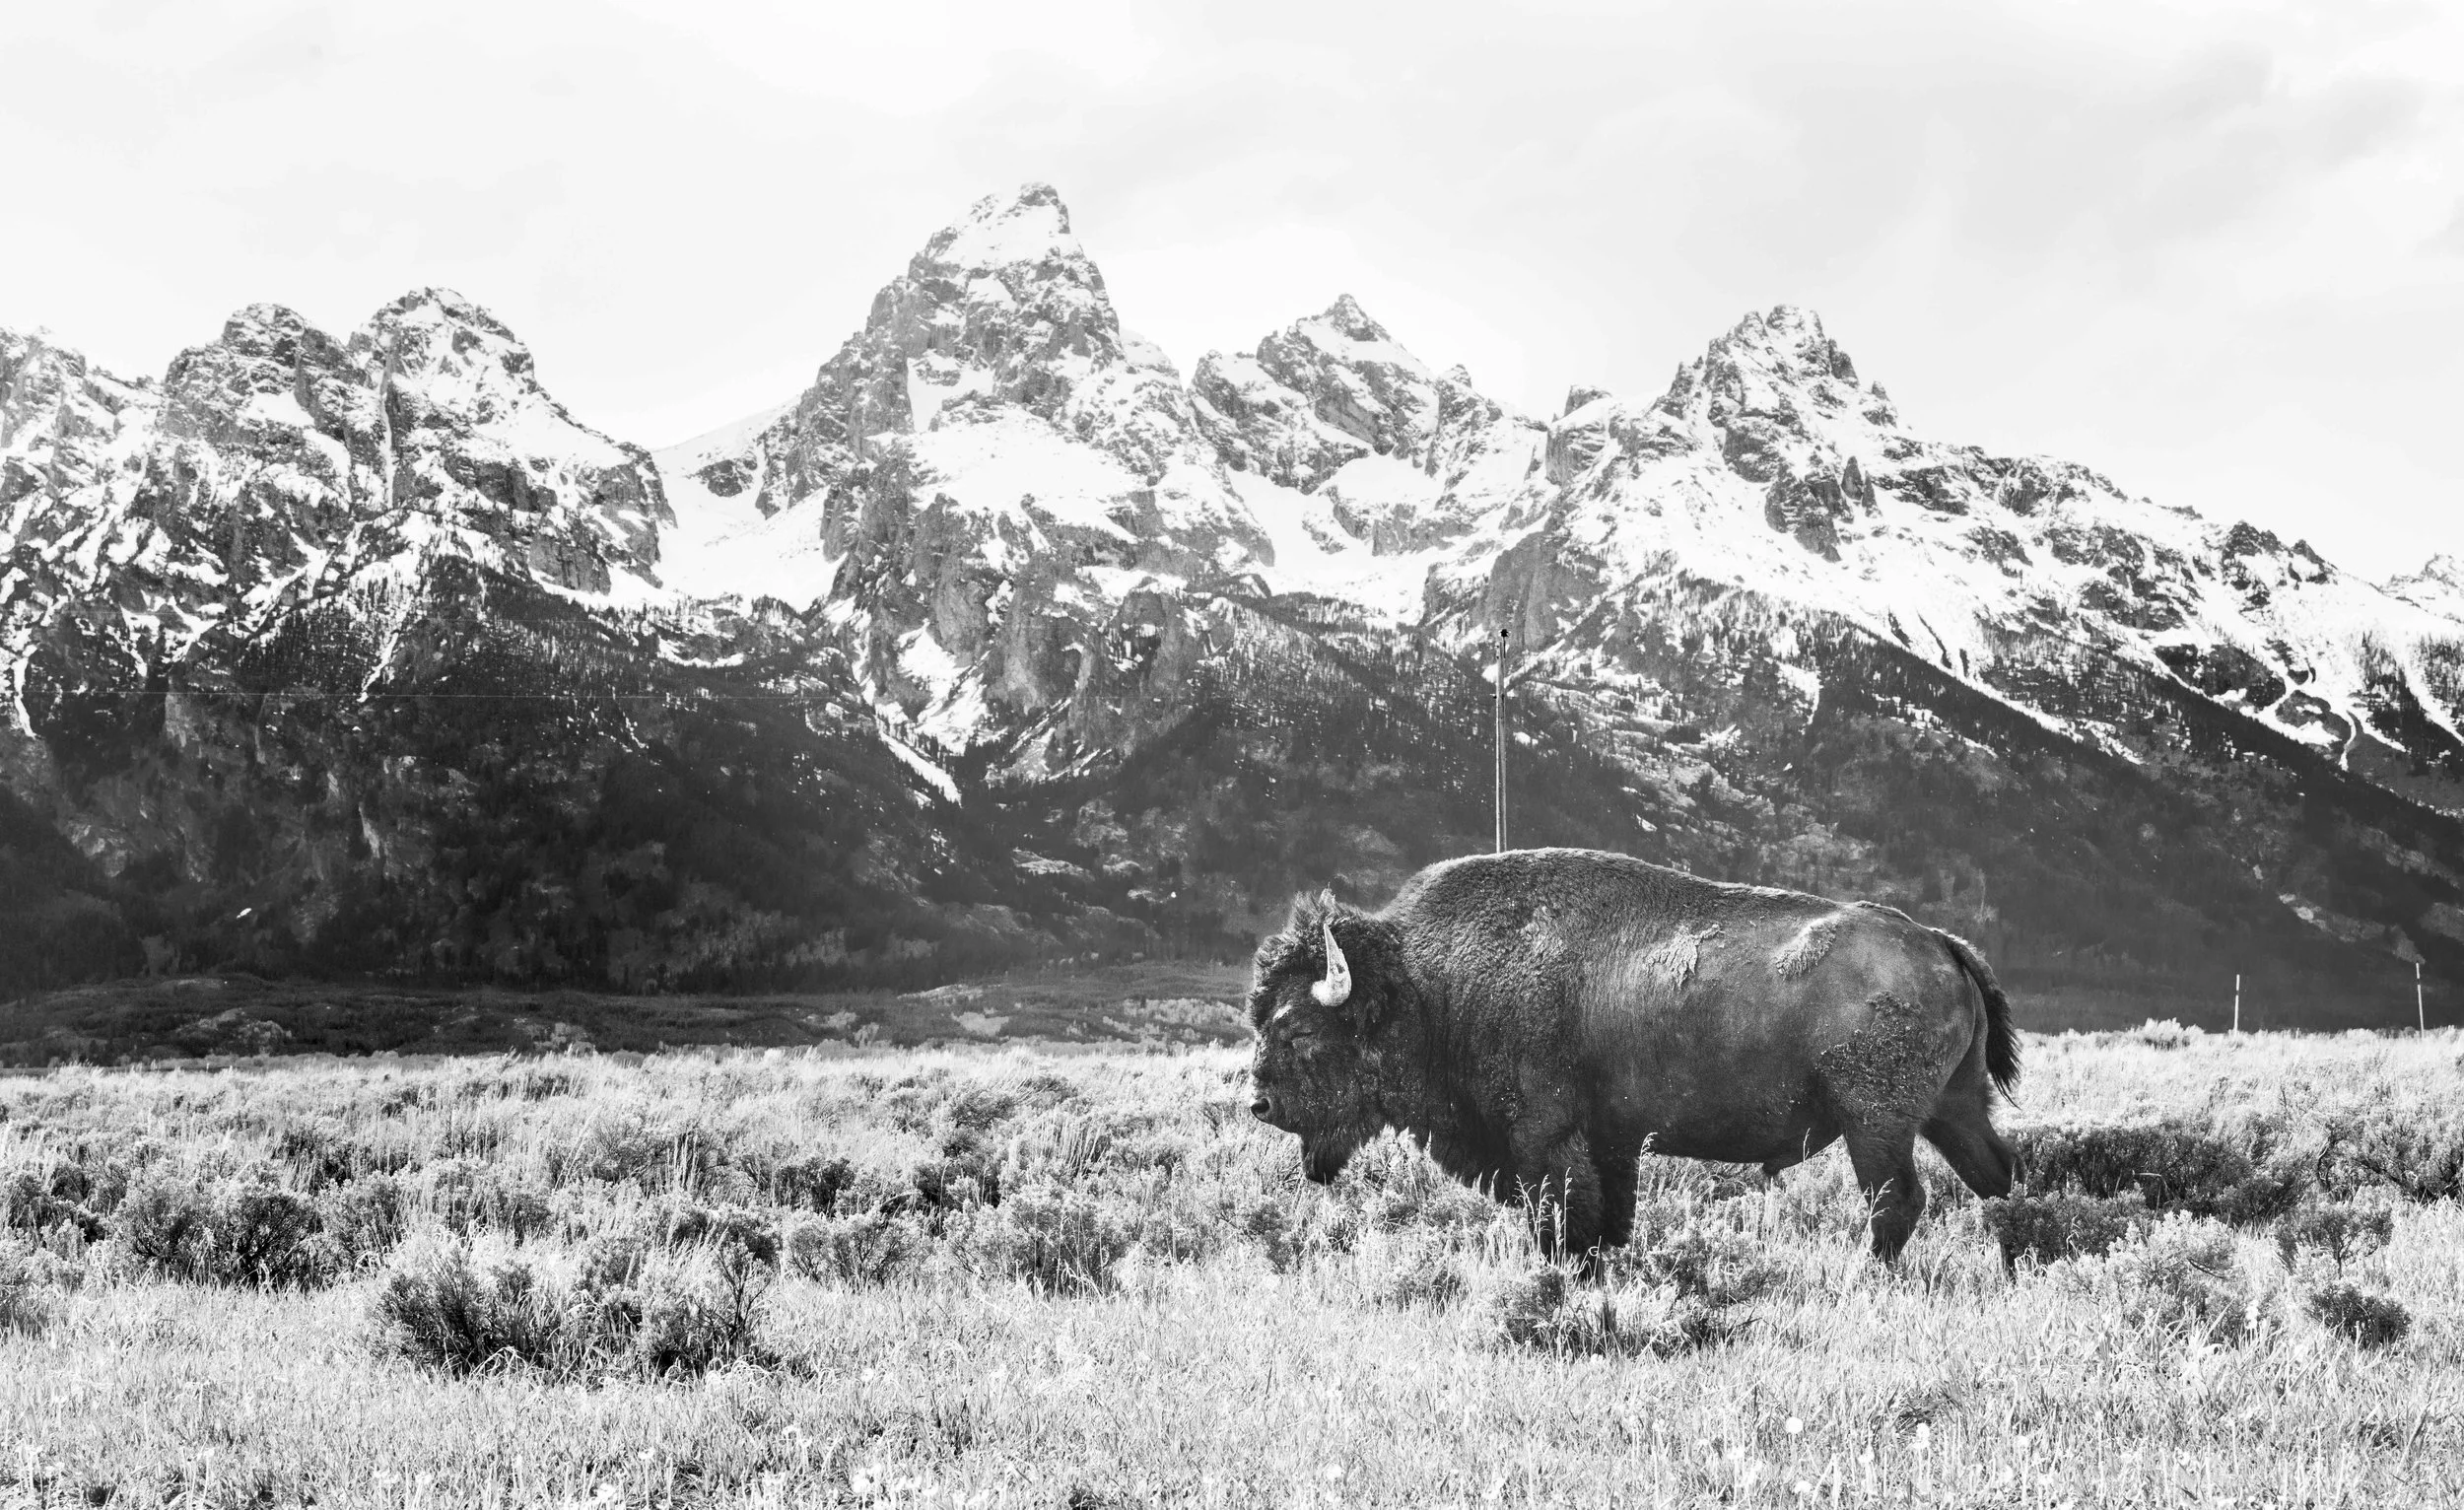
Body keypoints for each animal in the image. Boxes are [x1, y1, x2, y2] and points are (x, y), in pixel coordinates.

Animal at [1246, 847, 2019, 1262]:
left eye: (1297, 1030)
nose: (1258, 1103)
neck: (1425, 986)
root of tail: (1940, 942)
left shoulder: (1544, 1140)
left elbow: (1563, 1220)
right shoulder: (1610, 1145)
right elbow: (1610, 1220)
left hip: (1876, 1125)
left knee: (1897, 1202)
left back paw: (1864, 1275)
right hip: (1951, 1109)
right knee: (1997, 1175)